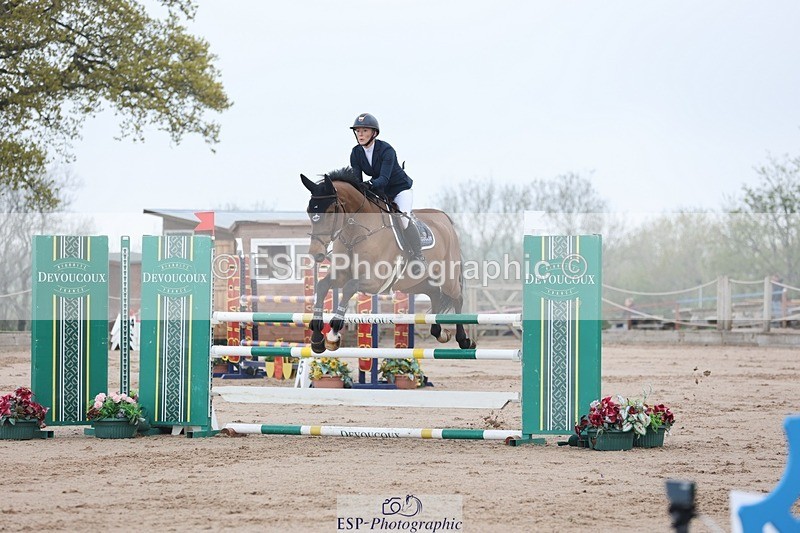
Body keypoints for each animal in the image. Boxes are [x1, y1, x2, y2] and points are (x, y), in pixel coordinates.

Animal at [300, 172, 476, 354]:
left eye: (330, 212)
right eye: (309, 211)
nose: (316, 253)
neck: (355, 233)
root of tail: (445, 219)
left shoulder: (375, 281)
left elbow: (350, 287)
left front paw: (333, 334)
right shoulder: (342, 274)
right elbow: (322, 285)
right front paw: (316, 338)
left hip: (447, 278)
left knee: (457, 298)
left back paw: (464, 340)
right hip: (411, 284)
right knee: (434, 293)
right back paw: (439, 333)